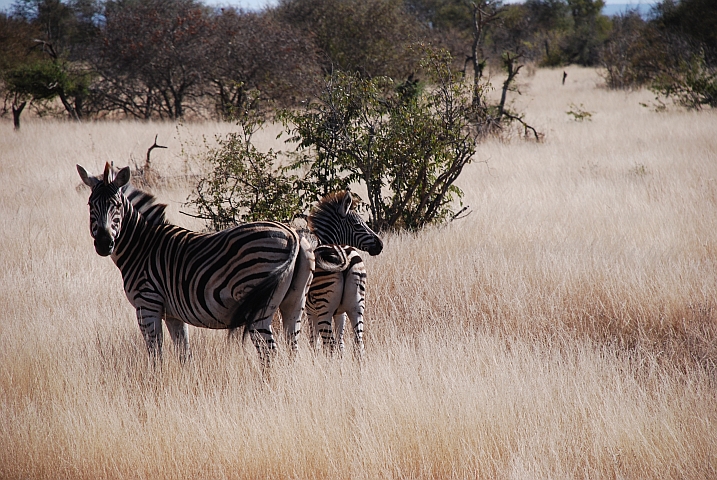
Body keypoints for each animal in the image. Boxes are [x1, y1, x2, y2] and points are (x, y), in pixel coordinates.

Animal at [77, 162, 314, 363]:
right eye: (90, 205)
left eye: (116, 205)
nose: (104, 244)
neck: (142, 245)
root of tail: (292, 234)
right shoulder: (173, 314)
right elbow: (184, 355)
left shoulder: (147, 304)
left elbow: (156, 355)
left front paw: (155, 384)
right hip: (295, 303)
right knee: (292, 350)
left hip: (259, 303)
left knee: (269, 352)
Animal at [306, 191, 383, 356]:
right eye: (358, 225)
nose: (380, 244)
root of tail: (343, 255)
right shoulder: (340, 313)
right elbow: (341, 344)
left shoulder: (310, 311)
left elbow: (314, 342)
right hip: (357, 307)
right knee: (359, 345)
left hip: (324, 308)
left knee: (329, 345)